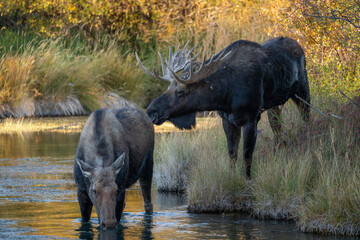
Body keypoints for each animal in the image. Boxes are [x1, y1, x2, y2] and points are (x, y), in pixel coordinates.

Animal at [136, 37, 310, 178]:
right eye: (168, 88)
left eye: (180, 92)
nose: (151, 111)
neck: (225, 96)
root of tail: (298, 46)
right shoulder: (227, 119)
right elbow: (232, 154)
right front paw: (232, 177)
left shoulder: (252, 118)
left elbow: (247, 156)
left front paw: (247, 179)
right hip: (274, 105)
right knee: (277, 130)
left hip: (302, 90)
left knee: (306, 117)